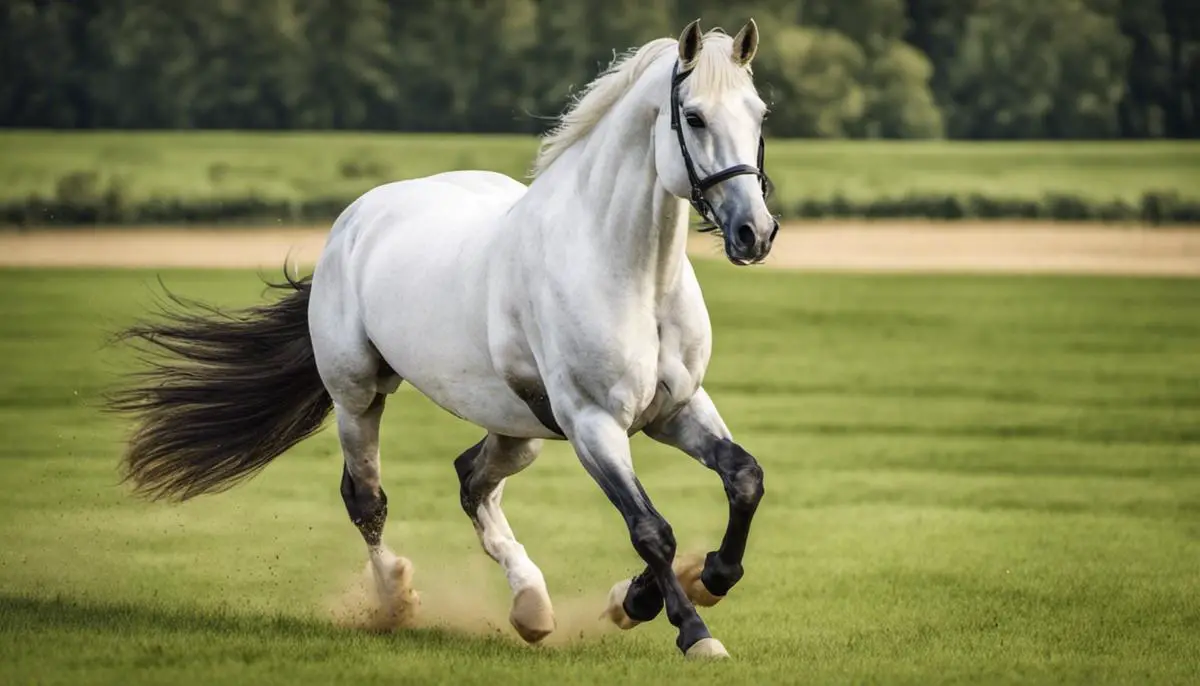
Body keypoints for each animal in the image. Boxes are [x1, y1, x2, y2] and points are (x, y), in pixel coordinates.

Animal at [110, 17, 777, 657]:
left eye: (760, 113)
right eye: (694, 116)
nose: (755, 233)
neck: (629, 274)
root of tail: (353, 223)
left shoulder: (676, 408)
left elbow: (744, 480)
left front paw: (683, 584)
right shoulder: (595, 425)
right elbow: (650, 530)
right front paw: (693, 630)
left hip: (520, 431)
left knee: (472, 481)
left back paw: (532, 607)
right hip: (359, 397)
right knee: (368, 499)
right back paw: (396, 601)